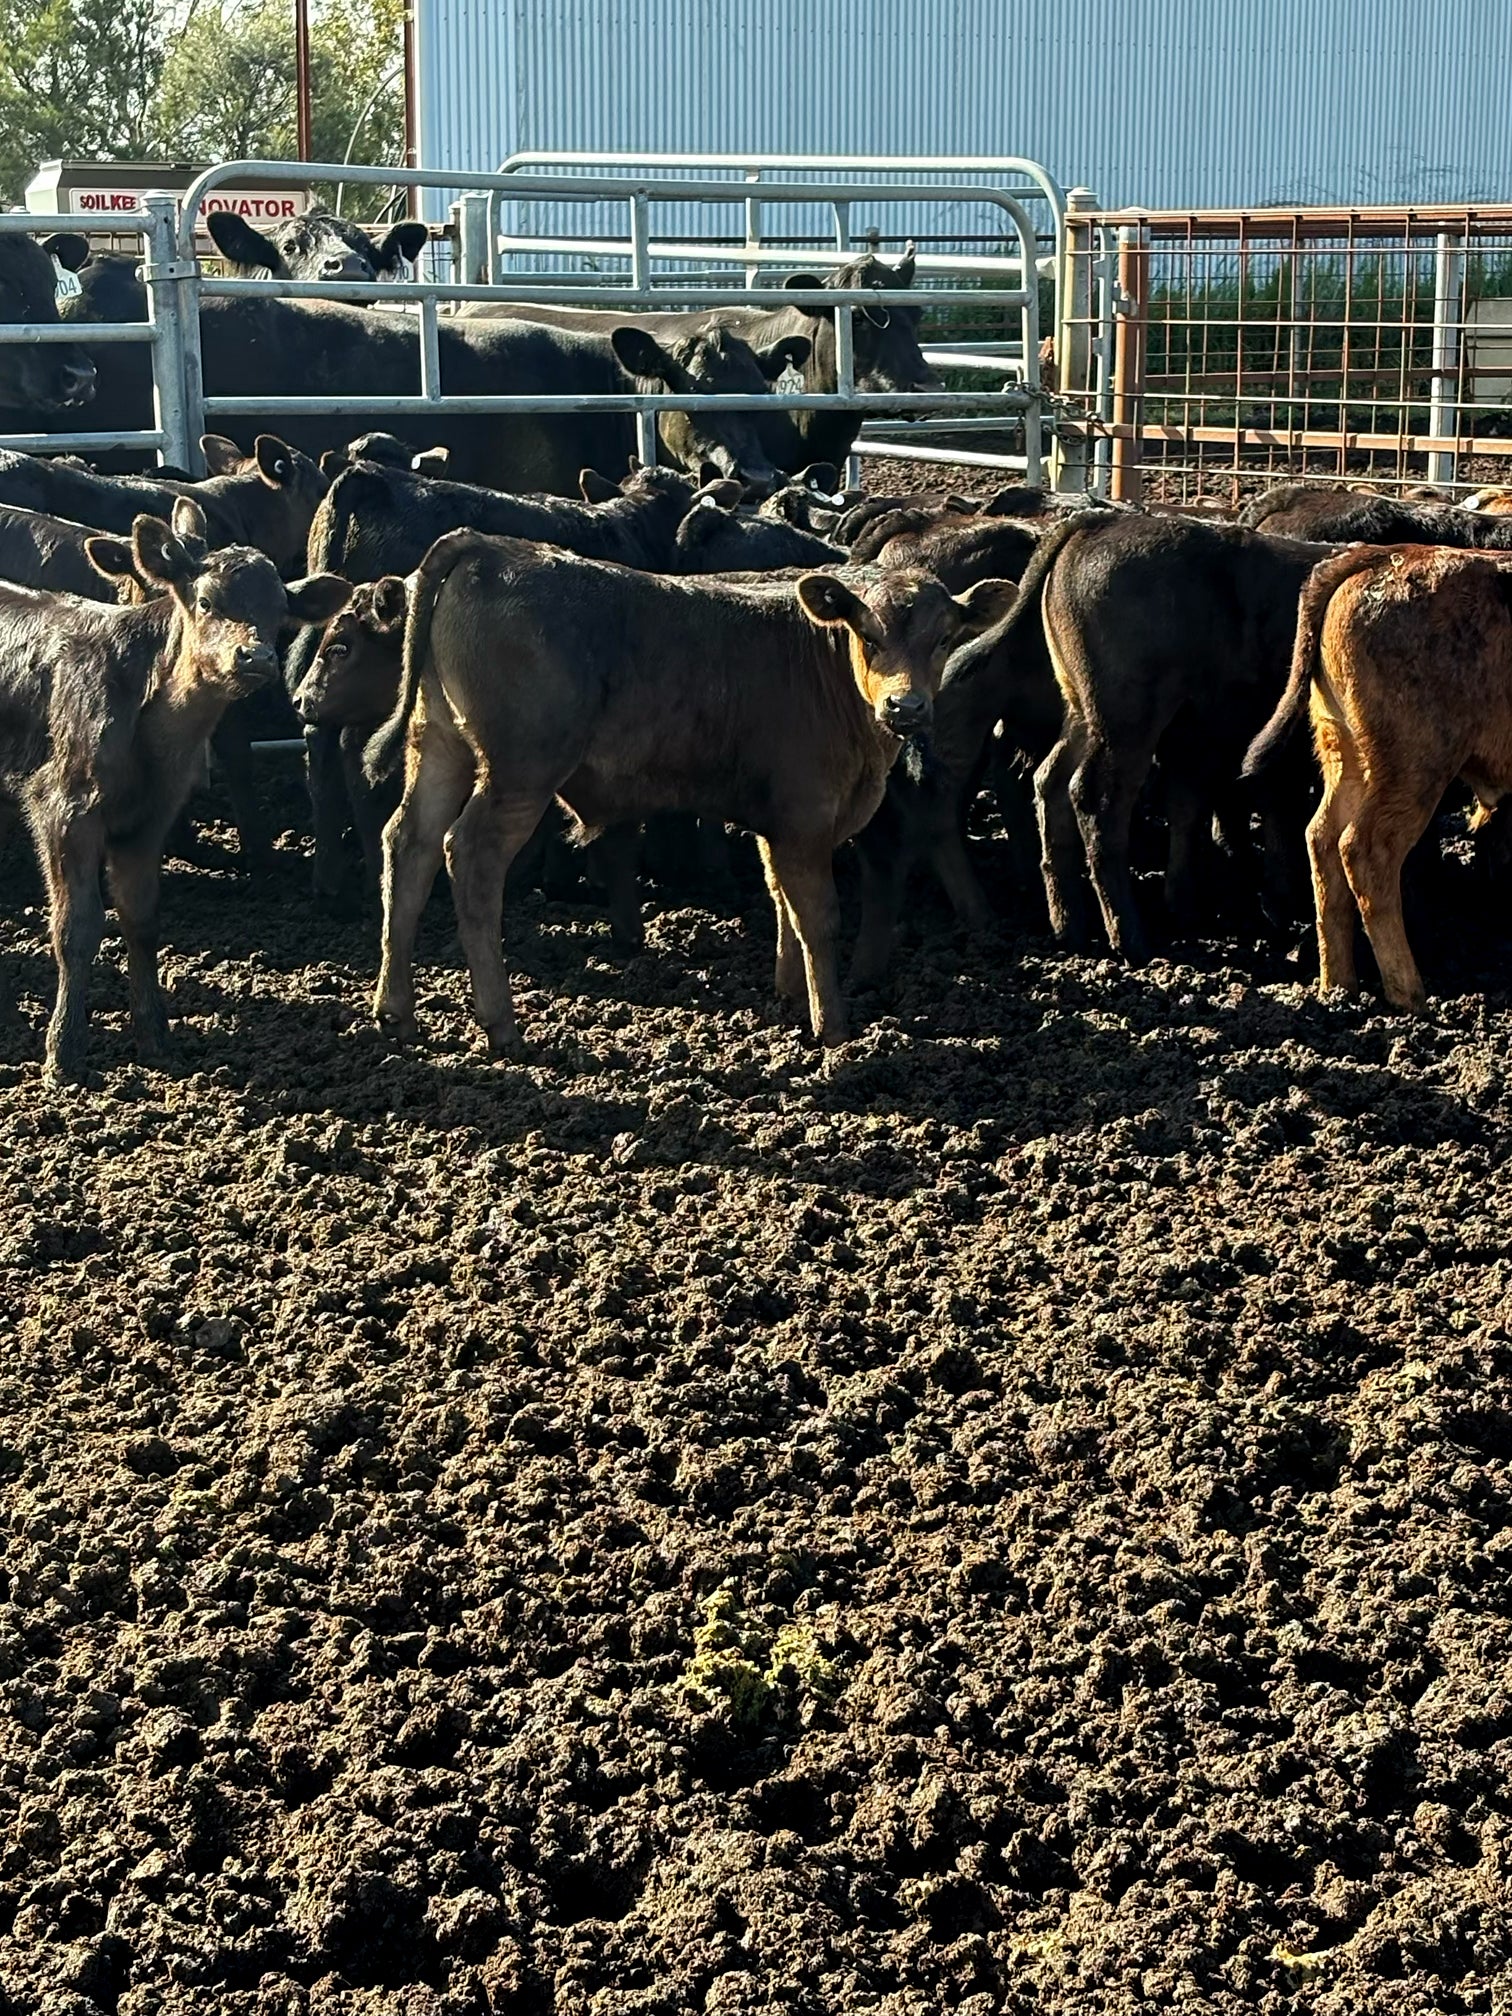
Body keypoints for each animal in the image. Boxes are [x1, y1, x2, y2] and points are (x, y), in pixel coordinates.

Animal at [0, 502, 346, 1079]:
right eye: (205, 601)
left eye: (279, 612)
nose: (256, 658)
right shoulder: (65, 810)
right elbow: (76, 927)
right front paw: (64, 1052)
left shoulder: (150, 818)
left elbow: (142, 919)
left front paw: (156, 1037)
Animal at [360, 537, 1013, 1052]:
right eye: (868, 635)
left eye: (945, 638)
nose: (906, 707)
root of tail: (492, 547)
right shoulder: (805, 819)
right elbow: (818, 918)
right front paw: (832, 1030)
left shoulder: (777, 824)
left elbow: (782, 903)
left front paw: (789, 1001)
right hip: (520, 771)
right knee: (470, 857)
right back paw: (501, 1025)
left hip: (439, 745)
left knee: (408, 845)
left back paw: (396, 1012)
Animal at [1243, 543, 1512, 1010]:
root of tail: (1386, 553)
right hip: (1415, 765)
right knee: (1366, 850)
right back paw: (1409, 994)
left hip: (1346, 755)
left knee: (1322, 840)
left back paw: (1338, 987)